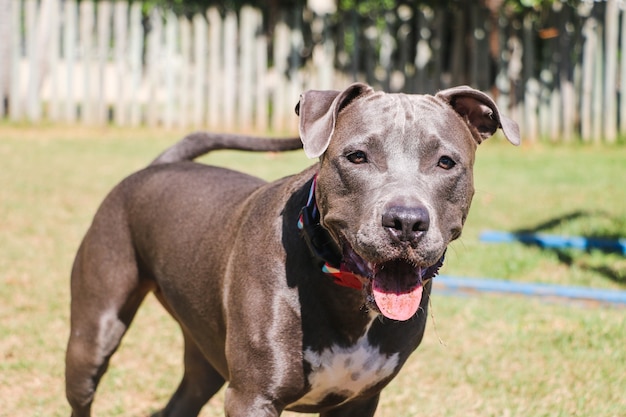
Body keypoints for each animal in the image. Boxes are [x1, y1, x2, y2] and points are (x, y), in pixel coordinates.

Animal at [66, 83, 520, 414]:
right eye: (357, 157)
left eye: (446, 162)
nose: (406, 222)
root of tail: (159, 165)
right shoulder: (252, 397)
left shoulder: (358, 402)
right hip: (93, 336)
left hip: (205, 353)